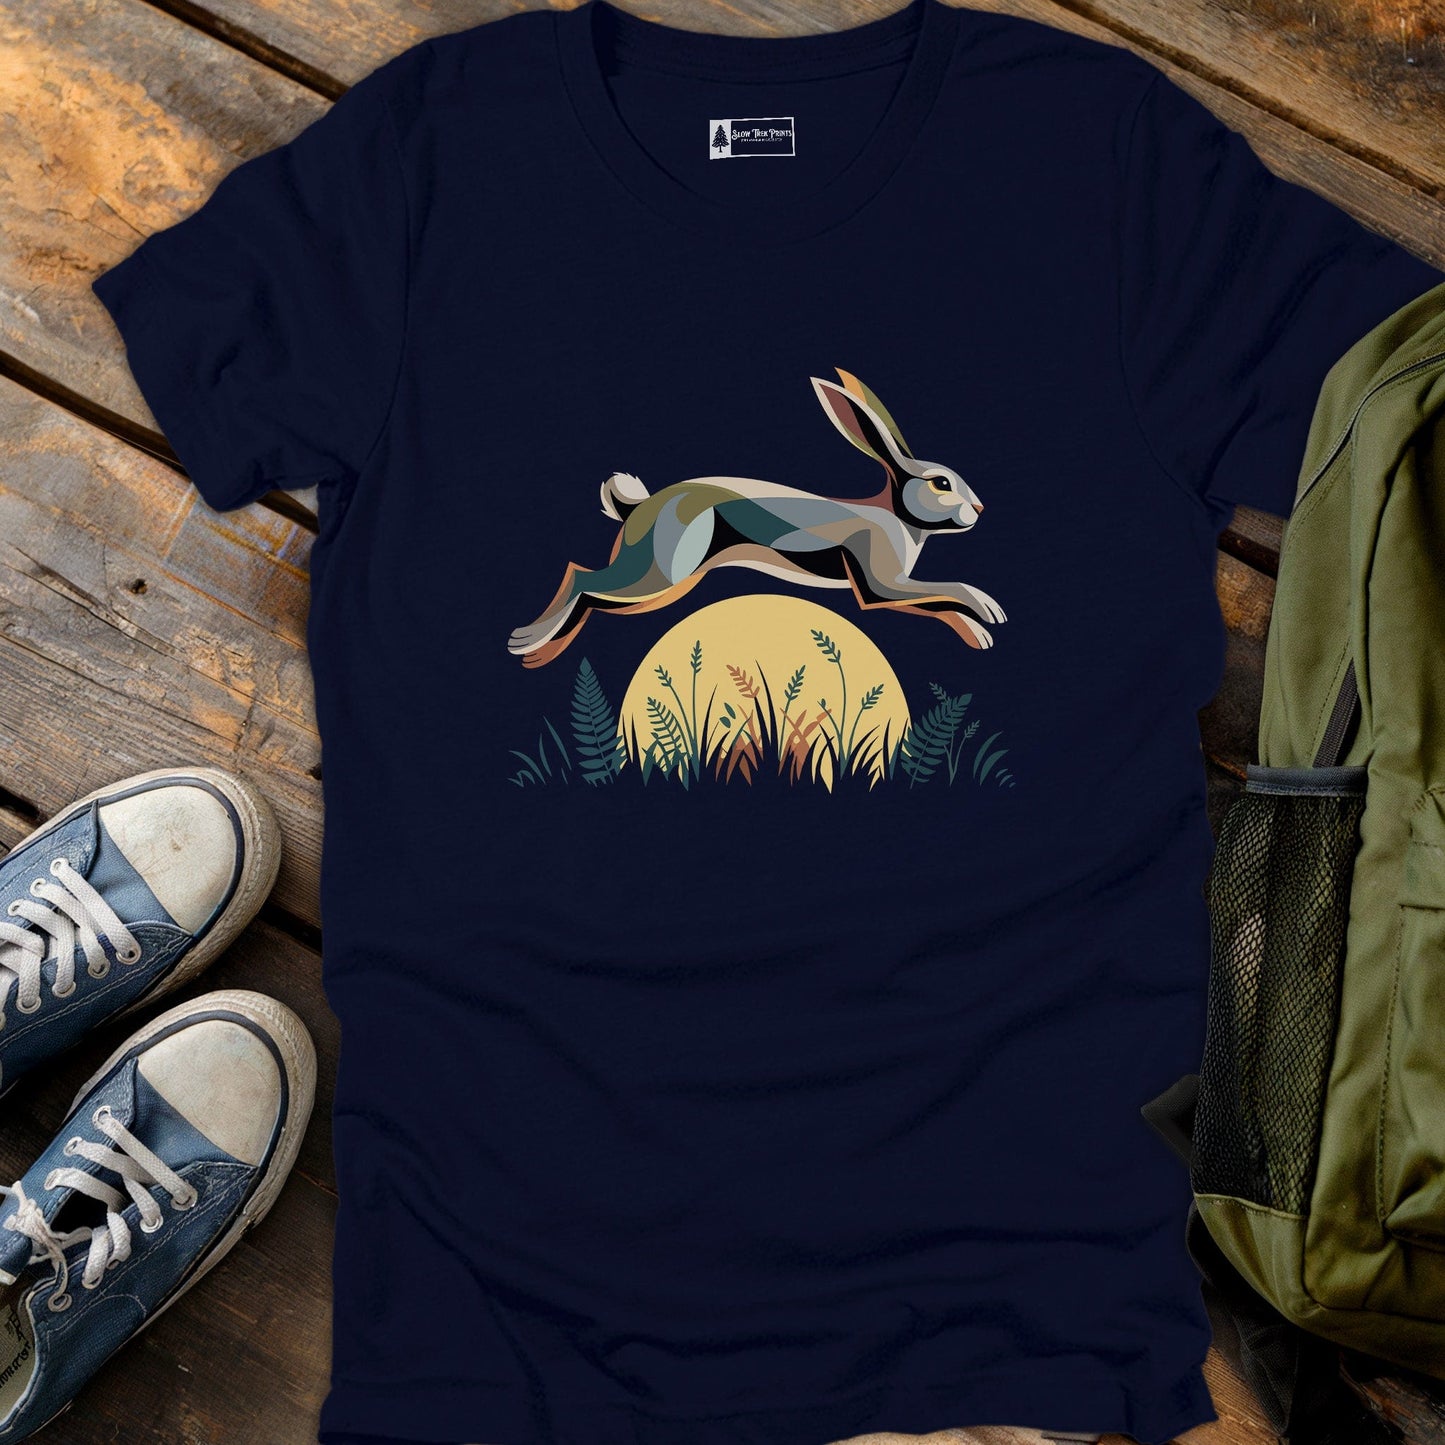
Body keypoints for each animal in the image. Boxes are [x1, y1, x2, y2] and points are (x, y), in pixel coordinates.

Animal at [508, 369, 1006, 668]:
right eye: (940, 482)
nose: (981, 509)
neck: (898, 518)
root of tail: (638, 506)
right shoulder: (879, 586)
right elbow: (943, 592)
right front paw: (988, 615)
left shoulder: (888, 589)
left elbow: (934, 600)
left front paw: (982, 632)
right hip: (660, 574)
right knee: (583, 581)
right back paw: (528, 645)